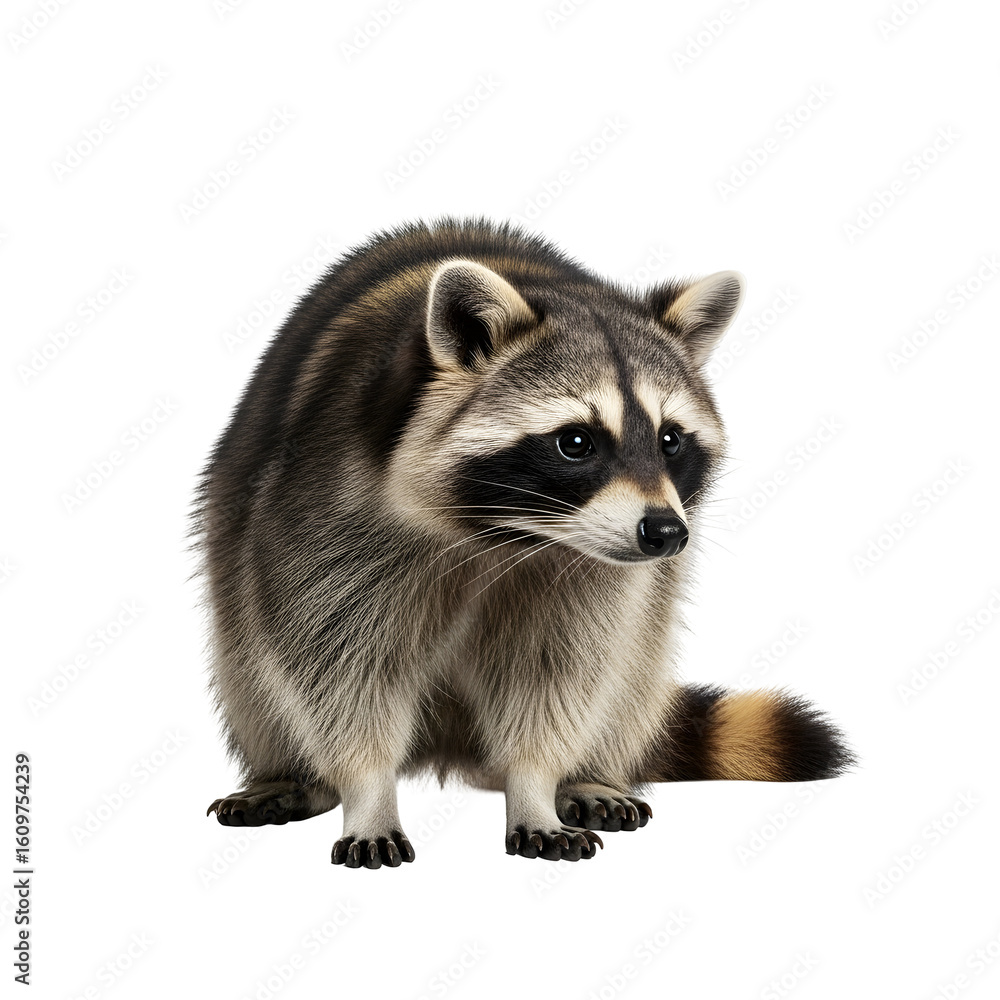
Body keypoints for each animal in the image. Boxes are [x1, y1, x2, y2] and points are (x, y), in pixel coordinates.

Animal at [198, 218, 852, 868]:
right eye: (576, 442)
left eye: (670, 440)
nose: (667, 533)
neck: (509, 534)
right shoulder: (329, 508)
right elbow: (335, 665)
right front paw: (368, 791)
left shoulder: (591, 570)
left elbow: (558, 672)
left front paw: (536, 785)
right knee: (251, 671)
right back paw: (293, 774)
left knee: (630, 667)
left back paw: (589, 773)